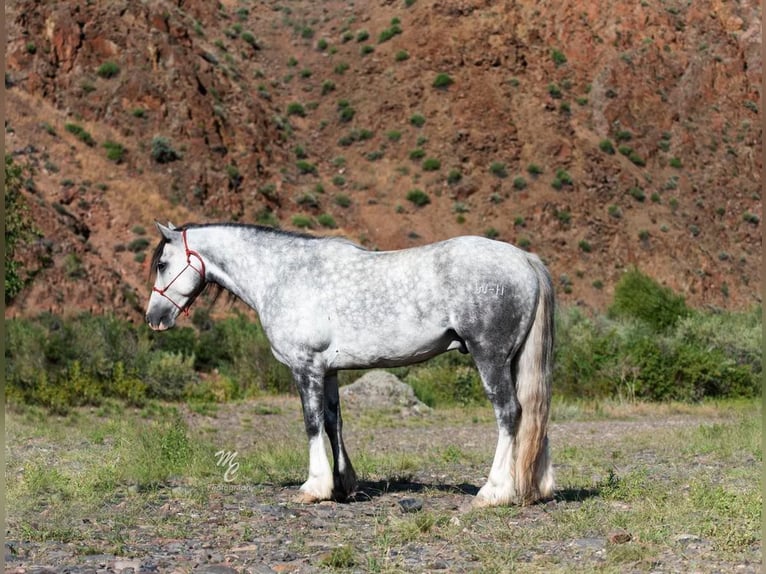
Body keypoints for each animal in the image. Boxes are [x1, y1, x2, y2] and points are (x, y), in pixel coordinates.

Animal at [144, 223, 556, 506]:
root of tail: (524, 259)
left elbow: (311, 423)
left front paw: (314, 486)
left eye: (162, 263)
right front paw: (343, 484)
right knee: (532, 414)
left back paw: (494, 491)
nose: (154, 317)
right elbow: (333, 422)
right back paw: (535, 488)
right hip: (514, 361)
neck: (283, 273)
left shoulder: (305, 367)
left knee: (509, 413)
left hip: (490, 357)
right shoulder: (328, 371)